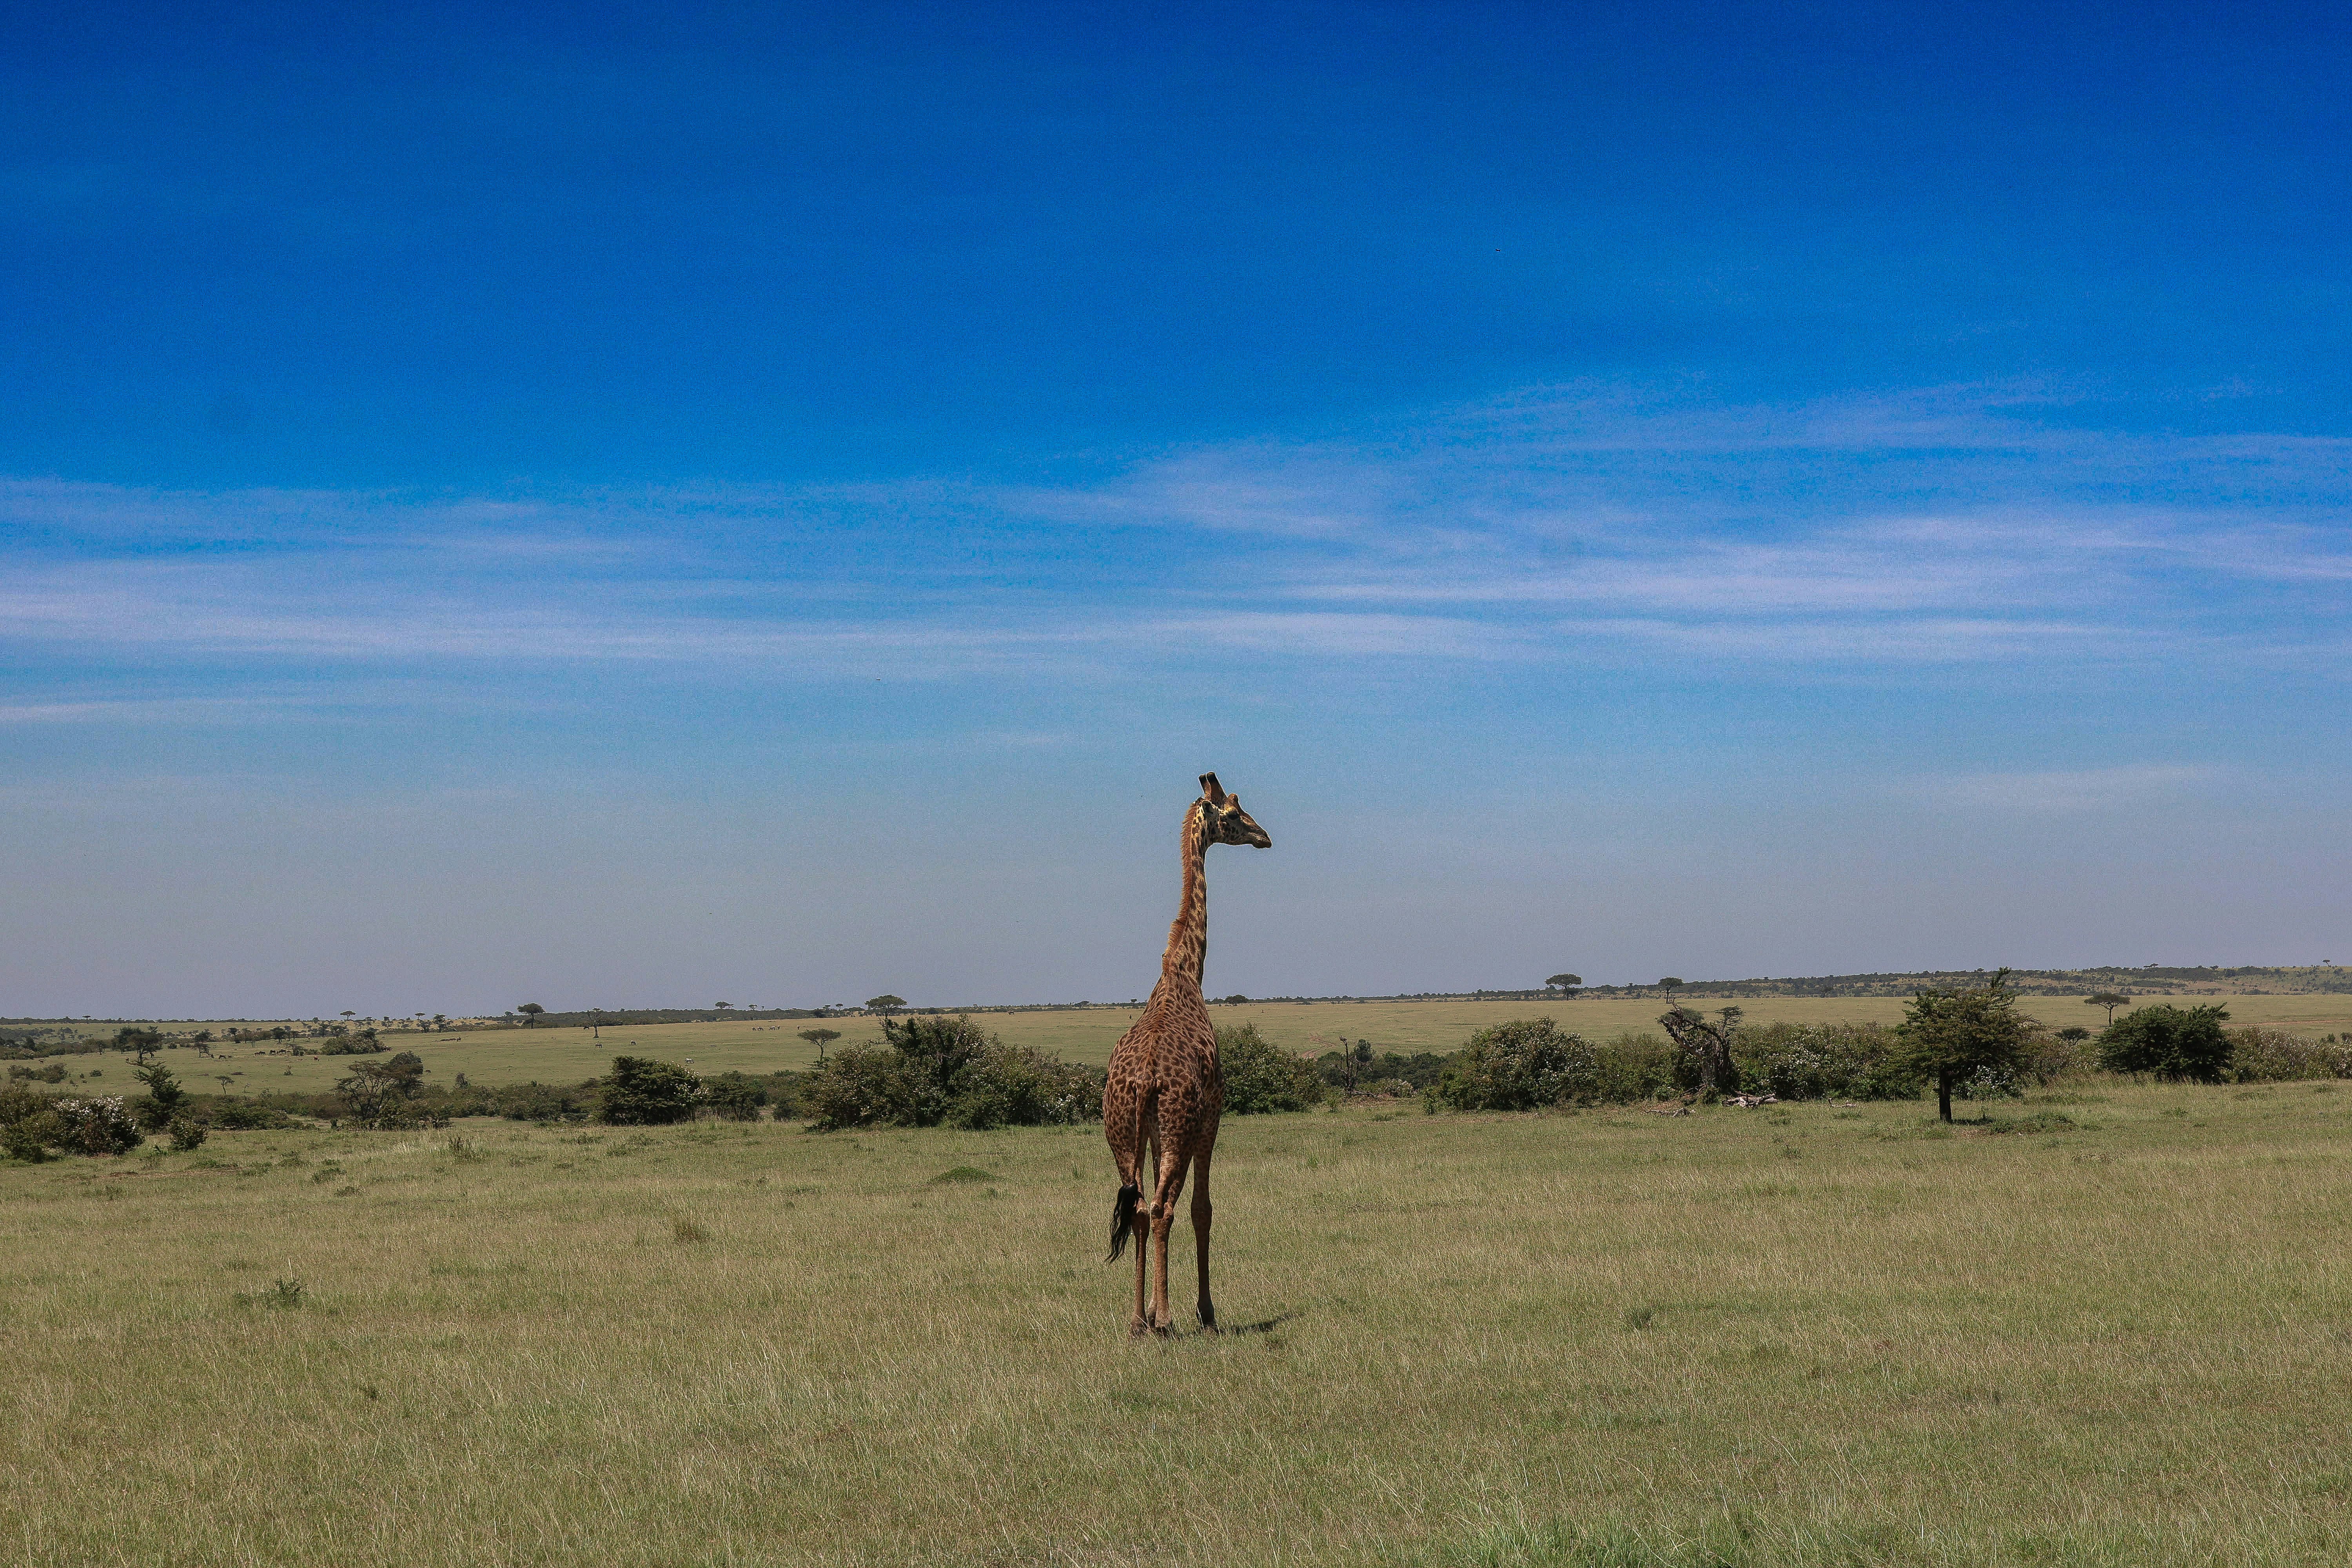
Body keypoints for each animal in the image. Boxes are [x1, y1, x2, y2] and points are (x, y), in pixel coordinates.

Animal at [1104, 772, 1271, 1337]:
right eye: (1235, 814)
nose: (1265, 836)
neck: (1184, 969)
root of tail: (1142, 1081)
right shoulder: (1212, 1114)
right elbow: (1203, 1208)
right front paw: (1206, 1311)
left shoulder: (1156, 1131)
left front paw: (1156, 1311)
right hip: (1178, 1127)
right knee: (1161, 1208)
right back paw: (1167, 1318)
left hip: (1122, 1133)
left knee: (1138, 1207)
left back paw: (1138, 1319)